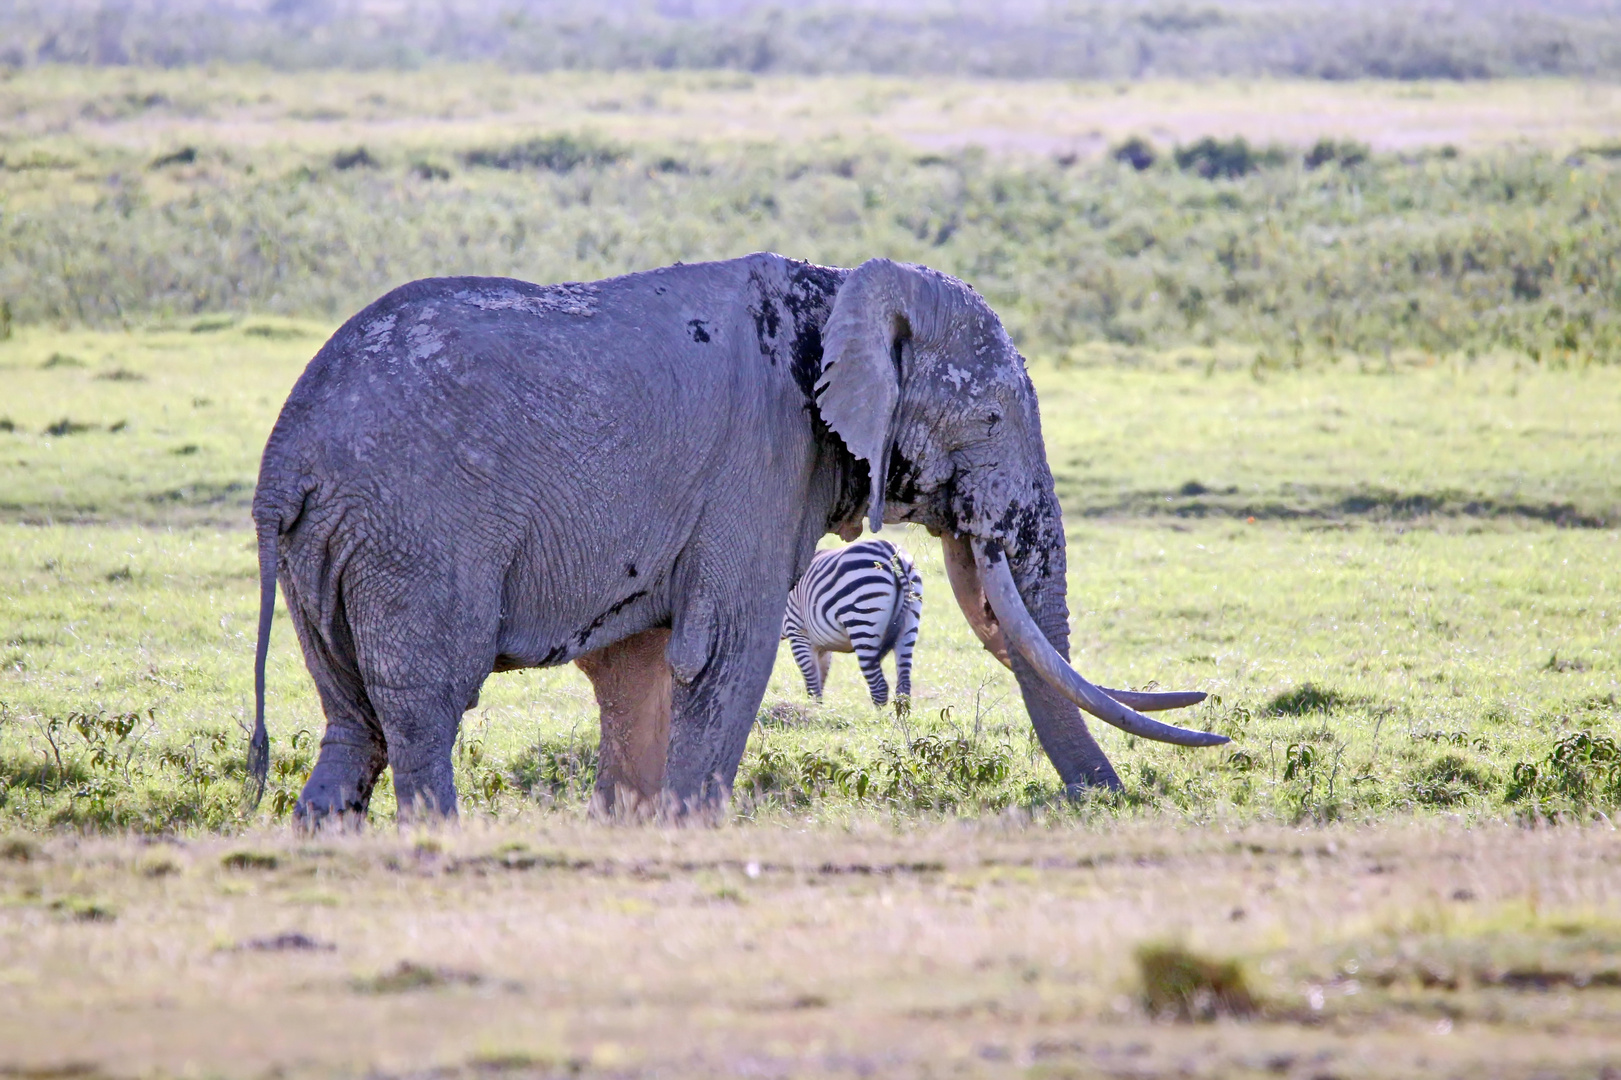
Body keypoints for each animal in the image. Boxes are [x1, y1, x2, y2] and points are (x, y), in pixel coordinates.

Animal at [784, 538, 927, 707]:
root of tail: (891, 552)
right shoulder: (822, 645)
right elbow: (820, 682)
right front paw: (818, 710)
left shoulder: (797, 631)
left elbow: (812, 685)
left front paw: (812, 711)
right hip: (909, 622)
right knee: (903, 688)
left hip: (863, 620)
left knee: (879, 686)